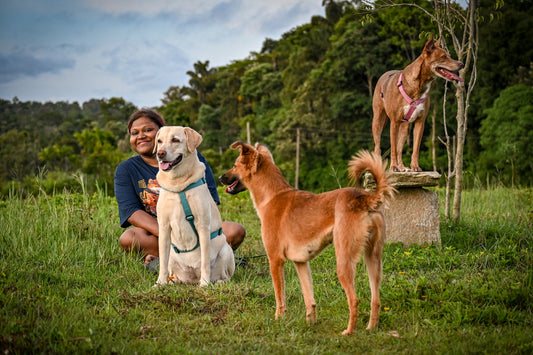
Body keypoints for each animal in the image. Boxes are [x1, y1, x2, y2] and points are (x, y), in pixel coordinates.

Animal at [372, 35, 464, 172]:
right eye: (443, 57)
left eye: (449, 55)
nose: (462, 64)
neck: (420, 85)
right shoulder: (394, 122)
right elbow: (392, 148)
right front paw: (393, 166)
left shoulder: (420, 122)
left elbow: (415, 149)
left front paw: (415, 166)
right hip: (378, 120)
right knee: (378, 146)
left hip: (405, 128)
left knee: (399, 149)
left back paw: (402, 167)